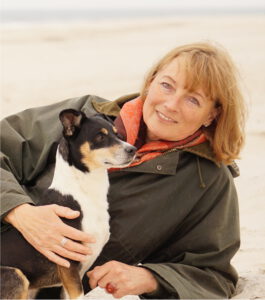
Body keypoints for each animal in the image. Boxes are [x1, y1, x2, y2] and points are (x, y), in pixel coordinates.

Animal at [0, 109, 135, 298]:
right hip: (15, 275)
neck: (82, 193)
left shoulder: (73, 276)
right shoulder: (69, 266)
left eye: (118, 134)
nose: (133, 149)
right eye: (100, 137)